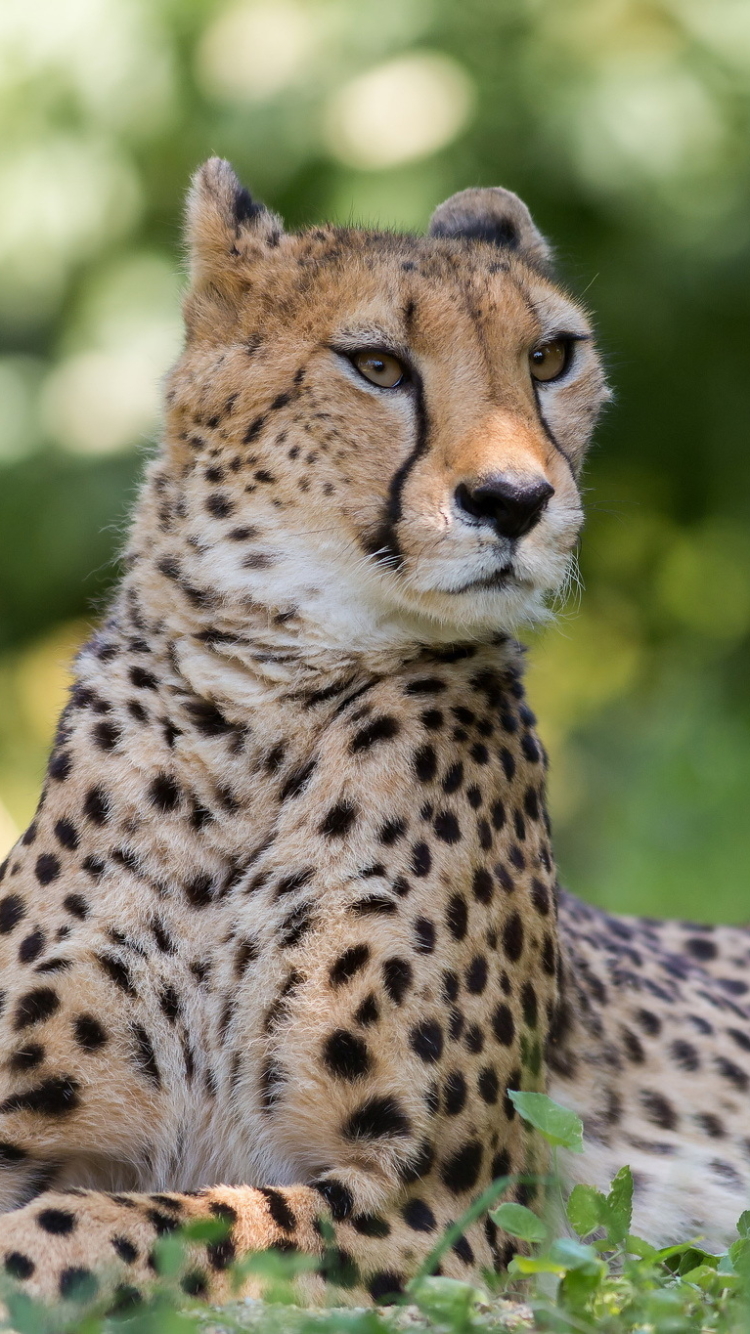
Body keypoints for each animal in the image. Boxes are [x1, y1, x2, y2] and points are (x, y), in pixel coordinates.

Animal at [1, 158, 747, 1312]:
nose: (515, 501)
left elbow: (110, 1225)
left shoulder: (447, 1198)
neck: (256, 706)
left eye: (550, 356)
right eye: (379, 366)